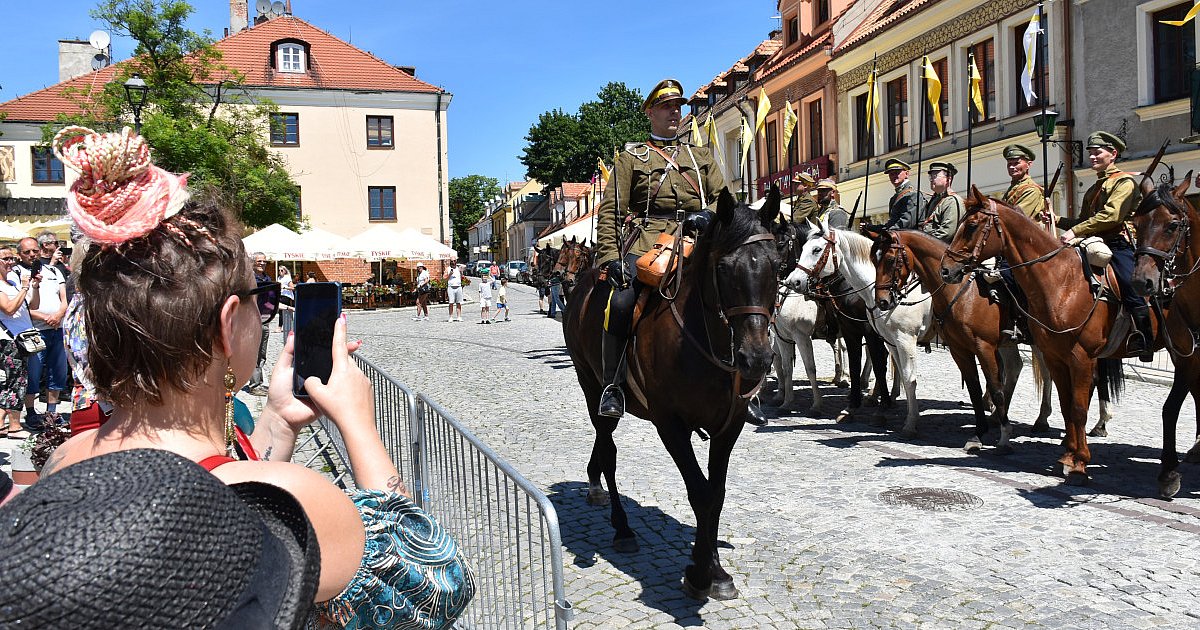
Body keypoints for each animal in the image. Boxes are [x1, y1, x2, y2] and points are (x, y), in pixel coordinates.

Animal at [564, 188, 782, 600]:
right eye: (724, 268)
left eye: (777, 266)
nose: (757, 358)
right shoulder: (670, 424)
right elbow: (699, 492)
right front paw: (700, 572)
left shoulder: (729, 426)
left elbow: (715, 494)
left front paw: (715, 570)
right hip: (590, 384)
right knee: (609, 448)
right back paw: (621, 526)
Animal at [787, 220, 936, 436]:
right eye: (803, 247)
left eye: (816, 249)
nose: (793, 281)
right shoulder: (855, 332)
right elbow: (856, 364)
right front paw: (852, 407)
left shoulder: (880, 335)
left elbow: (881, 366)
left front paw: (882, 410)